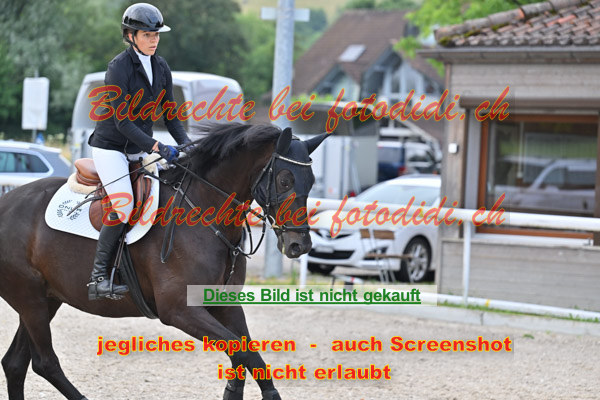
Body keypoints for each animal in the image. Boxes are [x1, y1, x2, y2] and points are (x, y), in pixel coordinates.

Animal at [0, 123, 328, 400]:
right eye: (284, 180)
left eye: (311, 181)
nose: (299, 245)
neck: (203, 212)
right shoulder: (179, 310)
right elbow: (243, 353)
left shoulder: (225, 304)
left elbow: (246, 354)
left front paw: (236, 390)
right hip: (31, 300)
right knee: (44, 361)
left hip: (46, 299)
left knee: (16, 363)